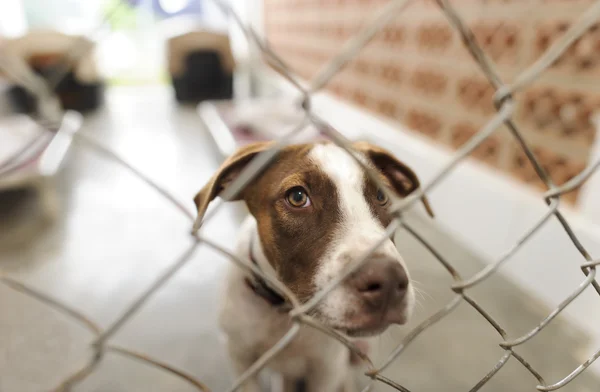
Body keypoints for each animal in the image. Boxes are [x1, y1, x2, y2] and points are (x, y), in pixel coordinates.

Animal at [193, 140, 432, 388]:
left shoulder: (326, 369)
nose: (389, 283)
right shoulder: (240, 357)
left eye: (381, 196)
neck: (284, 314)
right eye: (297, 197)